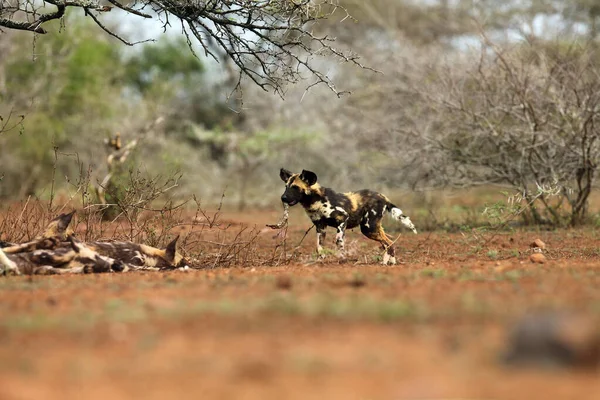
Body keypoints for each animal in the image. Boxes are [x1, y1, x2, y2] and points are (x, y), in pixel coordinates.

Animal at [280, 167, 418, 264]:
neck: (316, 201)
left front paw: (342, 259)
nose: (283, 198)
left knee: (388, 242)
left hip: (368, 228)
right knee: (389, 242)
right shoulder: (320, 227)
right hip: (373, 228)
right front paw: (320, 261)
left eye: (295, 187)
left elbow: (339, 241)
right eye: (286, 187)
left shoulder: (342, 220)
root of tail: (383, 197)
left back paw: (386, 262)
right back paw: (390, 262)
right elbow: (319, 247)